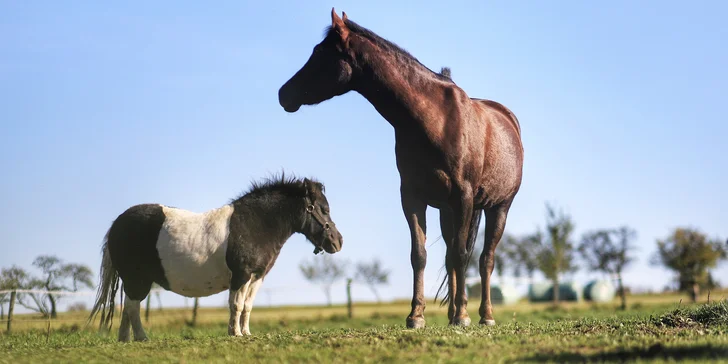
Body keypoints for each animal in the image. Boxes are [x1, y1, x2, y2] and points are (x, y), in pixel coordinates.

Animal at [89, 174, 344, 342]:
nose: (337, 241)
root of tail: (118, 223)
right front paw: (235, 333)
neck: (255, 225)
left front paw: (246, 333)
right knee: (133, 307)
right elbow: (236, 304)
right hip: (137, 280)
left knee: (128, 307)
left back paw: (125, 339)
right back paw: (142, 337)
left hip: (134, 281)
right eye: (322, 209)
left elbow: (247, 306)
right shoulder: (241, 276)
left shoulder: (256, 277)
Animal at [278, 8, 524, 328]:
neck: (434, 120)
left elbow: (463, 255)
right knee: (451, 256)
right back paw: (454, 313)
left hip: (498, 207)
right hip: (448, 211)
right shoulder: (412, 196)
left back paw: (484, 315)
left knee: (485, 259)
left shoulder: (464, 197)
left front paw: (462, 315)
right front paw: (416, 316)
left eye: (319, 53)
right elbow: (419, 254)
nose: (283, 94)